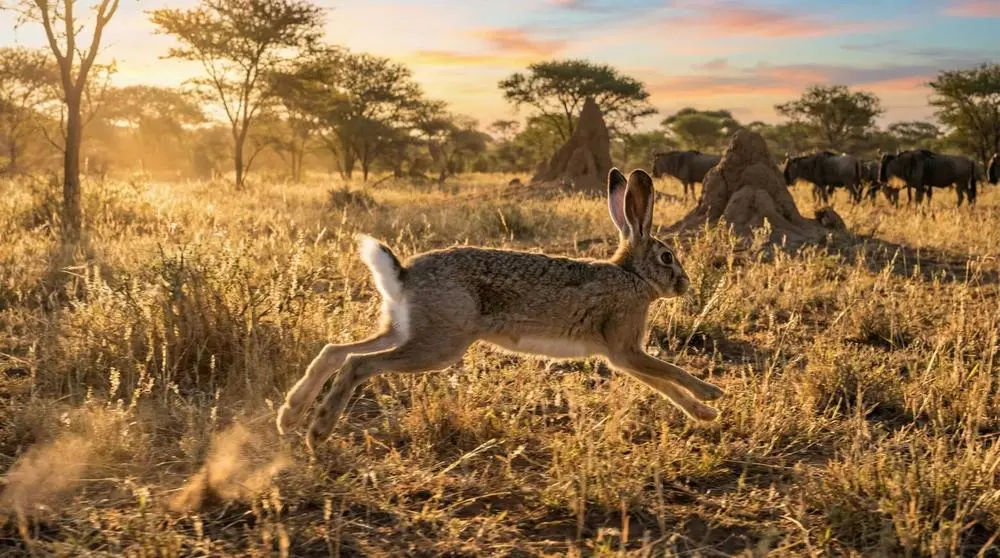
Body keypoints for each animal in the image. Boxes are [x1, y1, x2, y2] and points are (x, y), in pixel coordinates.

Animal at [277, 168, 725, 450]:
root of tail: (403, 275)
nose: (684, 284)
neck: (631, 275)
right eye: (667, 257)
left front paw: (704, 413)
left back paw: (290, 415)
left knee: (336, 351)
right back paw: (317, 431)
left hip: (405, 328)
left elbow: (664, 385)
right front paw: (713, 393)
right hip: (440, 344)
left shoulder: (623, 356)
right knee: (359, 364)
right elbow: (670, 373)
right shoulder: (624, 347)